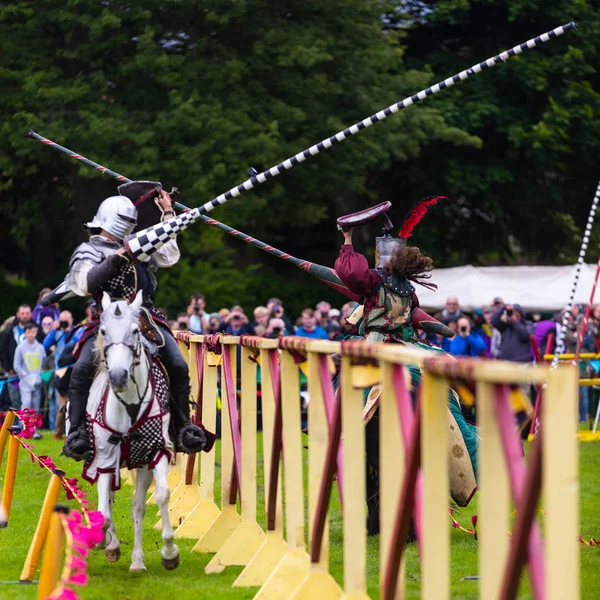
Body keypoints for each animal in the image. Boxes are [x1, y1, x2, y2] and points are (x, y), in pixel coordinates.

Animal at [84, 290, 178, 572]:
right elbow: (104, 514)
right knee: (109, 502)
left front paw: (170, 552)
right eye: (103, 330)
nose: (117, 376)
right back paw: (113, 544)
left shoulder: (156, 452)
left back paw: (137, 560)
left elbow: (161, 495)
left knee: (137, 507)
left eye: (136, 330)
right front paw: (105, 541)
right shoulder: (104, 458)